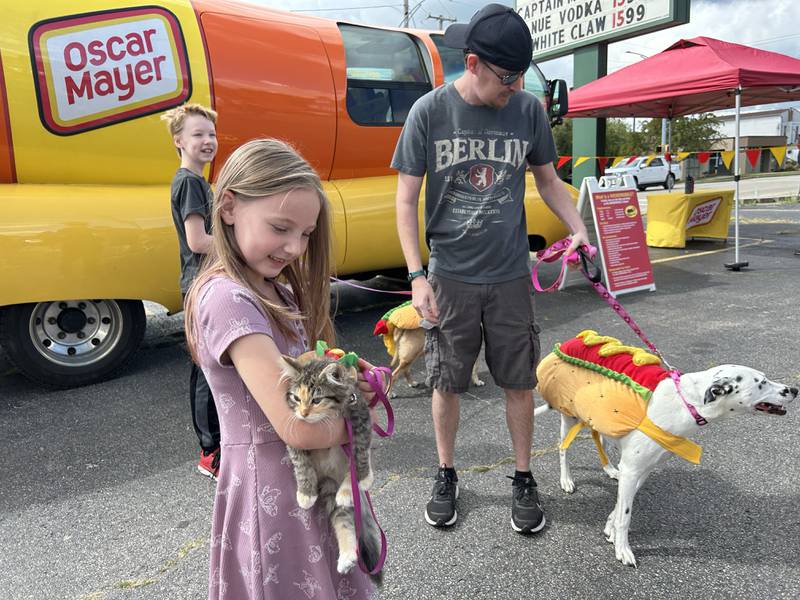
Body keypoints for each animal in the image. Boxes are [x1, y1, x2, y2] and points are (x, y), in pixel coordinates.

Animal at [280, 356, 382, 580]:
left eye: (316, 400)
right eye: (296, 398)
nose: (304, 414)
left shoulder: (359, 413)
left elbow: (360, 450)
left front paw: (363, 477)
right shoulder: (293, 433)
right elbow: (301, 464)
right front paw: (305, 493)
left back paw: (348, 491)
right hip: (328, 486)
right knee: (342, 519)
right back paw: (347, 558)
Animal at [536, 332, 796, 568]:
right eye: (761, 383)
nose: (794, 390)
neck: (686, 403)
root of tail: (570, 341)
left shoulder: (642, 470)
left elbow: (620, 506)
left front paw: (611, 527)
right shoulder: (633, 470)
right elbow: (625, 515)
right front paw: (623, 549)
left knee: (598, 439)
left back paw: (609, 468)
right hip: (568, 418)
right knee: (563, 450)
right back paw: (566, 479)